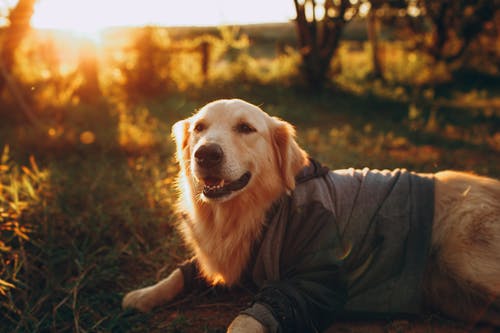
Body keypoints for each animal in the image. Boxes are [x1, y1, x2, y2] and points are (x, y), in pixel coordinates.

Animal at [124, 99, 500, 332]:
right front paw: (144, 294)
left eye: (245, 128)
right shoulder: (226, 261)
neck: (262, 208)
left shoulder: (317, 280)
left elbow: (245, 320)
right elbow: (181, 273)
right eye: (200, 127)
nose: (205, 154)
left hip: (461, 251)